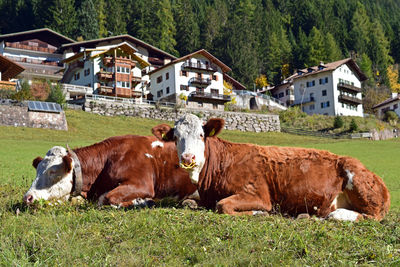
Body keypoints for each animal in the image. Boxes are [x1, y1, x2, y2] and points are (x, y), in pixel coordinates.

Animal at [22, 135, 198, 208]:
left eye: (52, 172)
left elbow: (106, 198)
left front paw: (142, 201)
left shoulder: (143, 184)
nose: (27, 197)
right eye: (37, 171)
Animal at [152, 115, 390, 222]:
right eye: (176, 137)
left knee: (366, 216)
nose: (188, 157)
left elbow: (223, 205)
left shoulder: (257, 194)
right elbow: (187, 202)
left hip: (359, 184)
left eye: (201, 135)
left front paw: (260, 213)